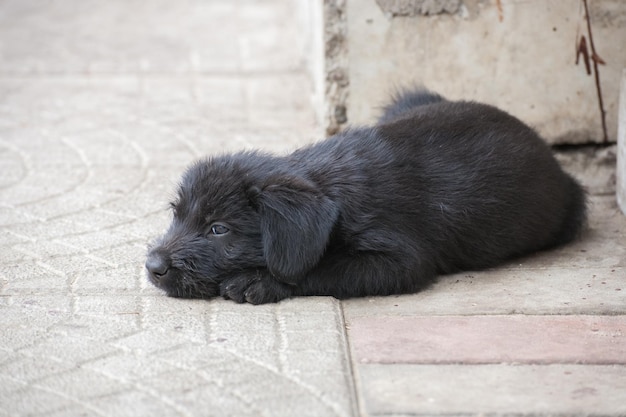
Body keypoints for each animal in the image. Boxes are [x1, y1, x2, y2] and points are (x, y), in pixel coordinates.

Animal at [146, 88, 584, 302]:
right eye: (176, 214)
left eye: (219, 229)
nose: (153, 266)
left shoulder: (399, 259)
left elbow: (323, 268)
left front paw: (259, 281)